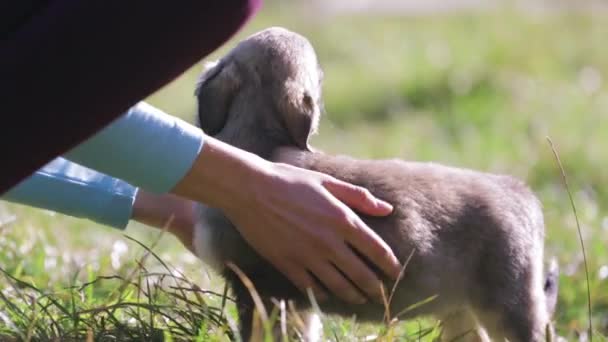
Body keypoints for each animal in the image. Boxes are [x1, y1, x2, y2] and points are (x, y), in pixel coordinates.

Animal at [192, 27, 560, 342]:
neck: (257, 137)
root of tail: (519, 192)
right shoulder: (292, 299)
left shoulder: (261, 291)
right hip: (462, 312)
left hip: (508, 305)